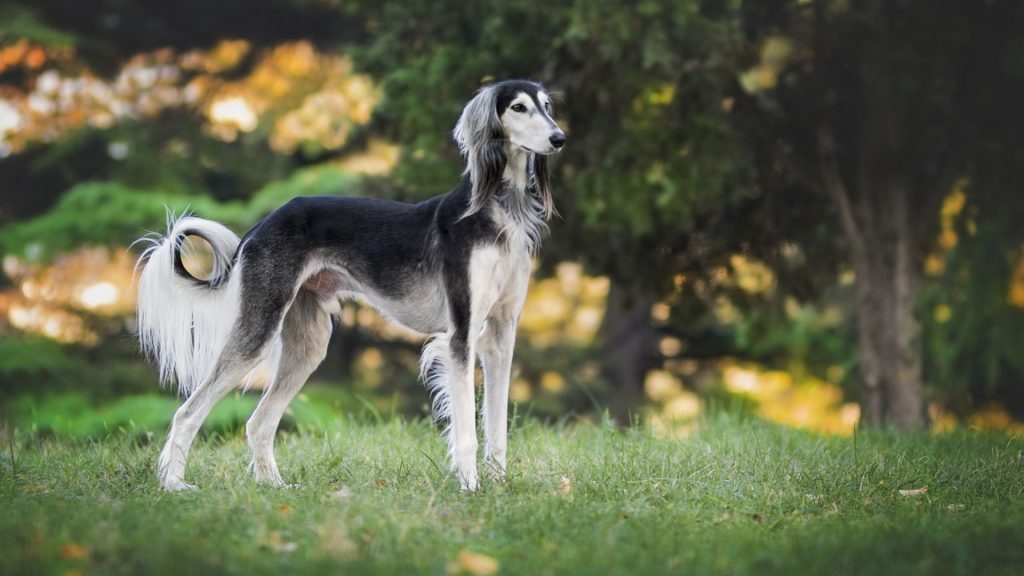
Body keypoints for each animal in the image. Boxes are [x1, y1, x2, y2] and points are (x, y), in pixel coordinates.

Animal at [134, 79, 569, 487]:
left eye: (547, 106)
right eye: (518, 107)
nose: (559, 138)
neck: (496, 210)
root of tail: (262, 224)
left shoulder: (500, 334)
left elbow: (497, 425)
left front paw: (497, 485)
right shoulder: (460, 336)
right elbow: (467, 430)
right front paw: (469, 487)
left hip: (308, 344)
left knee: (258, 422)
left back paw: (276, 487)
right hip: (257, 329)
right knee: (188, 411)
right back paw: (174, 484)